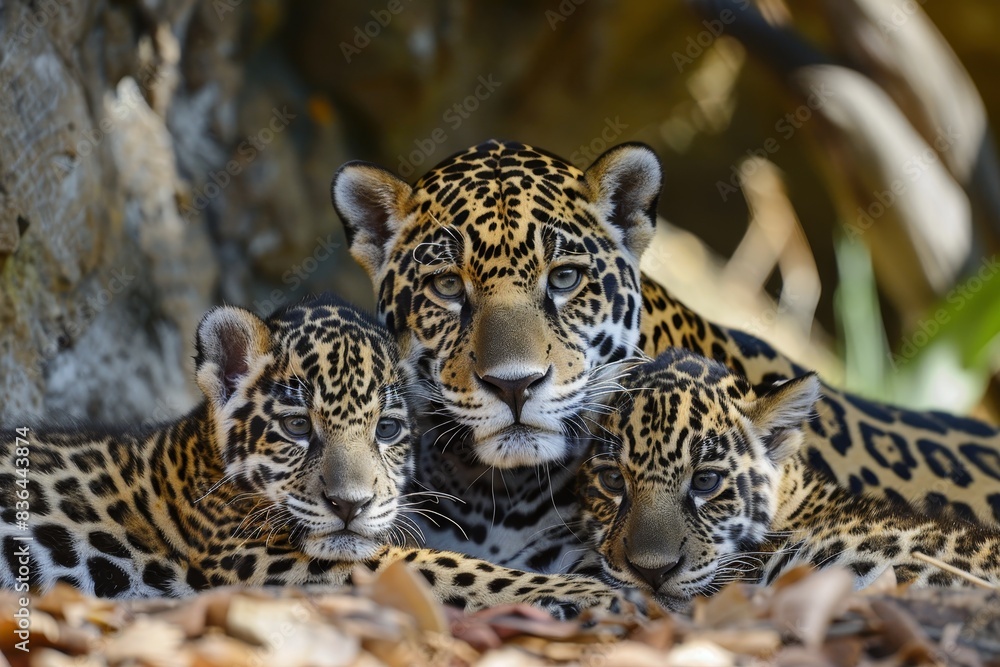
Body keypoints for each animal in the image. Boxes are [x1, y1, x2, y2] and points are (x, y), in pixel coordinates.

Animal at [0, 293, 637, 617]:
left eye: (387, 429)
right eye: (295, 427)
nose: (349, 505)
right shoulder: (257, 558)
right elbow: (445, 567)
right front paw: (596, 594)